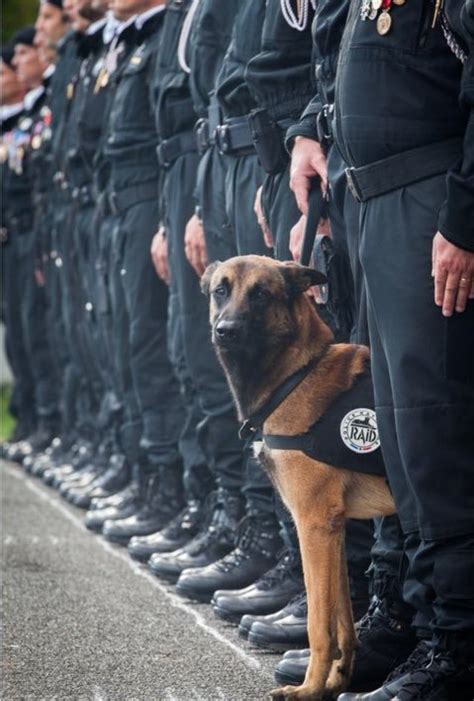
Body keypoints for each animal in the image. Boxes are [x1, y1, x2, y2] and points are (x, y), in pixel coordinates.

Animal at [201, 258, 396, 700]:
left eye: (260, 294)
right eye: (221, 290)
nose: (225, 330)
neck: (297, 375)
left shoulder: (313, 524)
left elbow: (319, 624)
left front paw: (308, 689)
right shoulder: (333, 529)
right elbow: (343, 620)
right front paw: (335, 681)